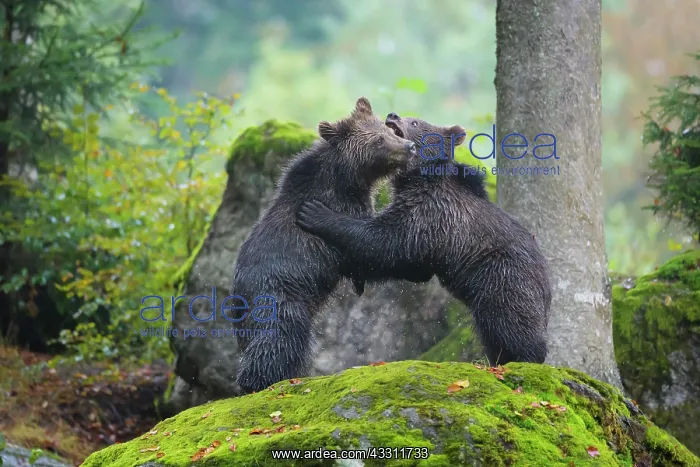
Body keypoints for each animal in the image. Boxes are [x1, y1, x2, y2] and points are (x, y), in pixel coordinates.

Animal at [230, 98, 418, 394]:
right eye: (378, 140)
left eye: (389, 131)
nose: (409, 147)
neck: (347, 181)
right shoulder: (342, 213)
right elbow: (364, 252)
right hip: (280, 298)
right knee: (279, 340)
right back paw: (260, 381)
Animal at [296, 112, 552, 366]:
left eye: (415, 122)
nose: (392, 115)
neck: (417, 179)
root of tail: (546, 283)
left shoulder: (429, 214)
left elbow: (385, 241)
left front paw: (315, 213)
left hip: (502, 278)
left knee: (511, 324)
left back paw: (525, 359)